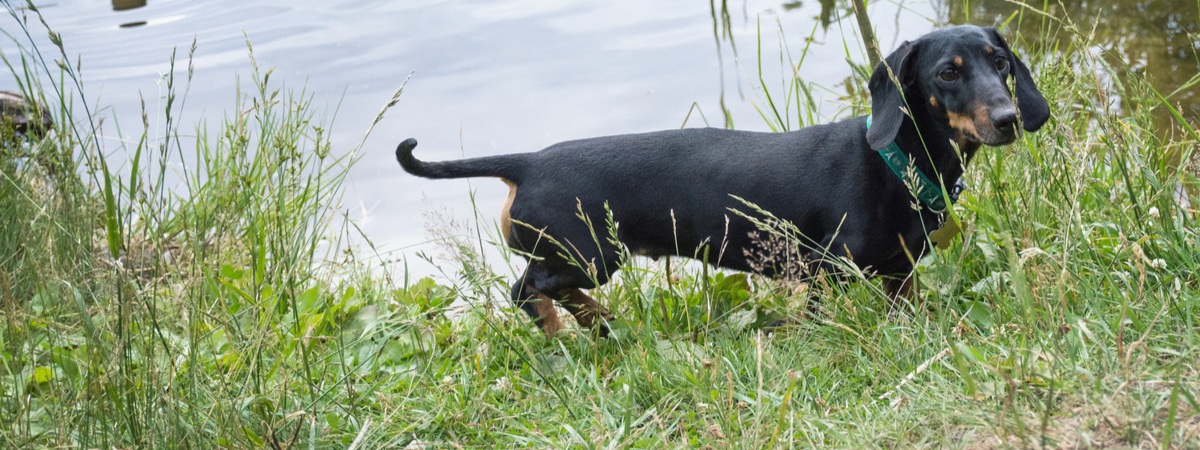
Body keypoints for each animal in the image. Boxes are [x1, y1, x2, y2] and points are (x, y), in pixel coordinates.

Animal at [396, 24, 1051, 336]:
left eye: (1000, 63)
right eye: (948, 73)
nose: (1009, 120)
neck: (896, 162)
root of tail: (527, 160)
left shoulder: (899, 272)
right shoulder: (826, 268)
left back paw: (600, 324)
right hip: (588, 255)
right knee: (528, 289)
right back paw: (569, 328)